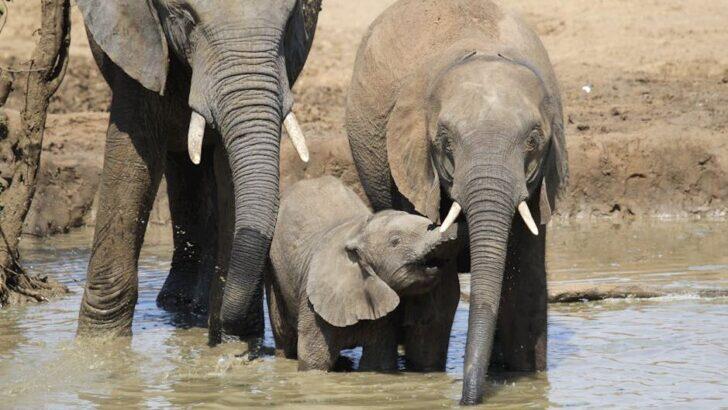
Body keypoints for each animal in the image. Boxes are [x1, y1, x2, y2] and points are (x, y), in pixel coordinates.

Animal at [74, 0, 323, 344]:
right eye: (185, 17)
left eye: (289, 22)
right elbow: (134, 154)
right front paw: (98, 346)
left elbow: (227, 170)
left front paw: (232, 340)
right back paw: (177, 304)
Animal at [266, 176, 460, 371]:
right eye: (395, 241)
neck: (357, 233)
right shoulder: (313, 301)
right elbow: (314, 363)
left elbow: (376, 362)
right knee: (284, 336)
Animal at [345, 0, 568, 404]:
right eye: (445, 142)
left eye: (533, 141)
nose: (466, 400)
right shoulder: (410, 169)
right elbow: (438, 293)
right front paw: (427, 374)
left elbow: (525, 287)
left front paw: (524, 380)